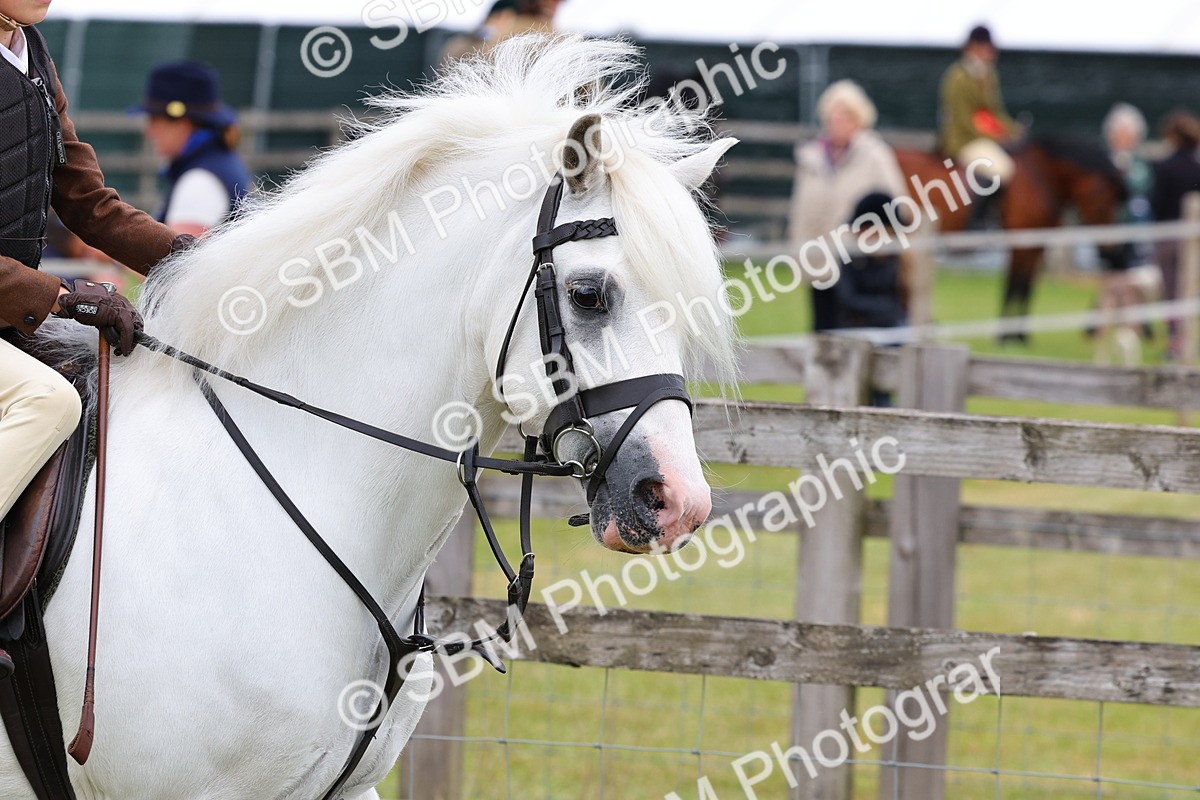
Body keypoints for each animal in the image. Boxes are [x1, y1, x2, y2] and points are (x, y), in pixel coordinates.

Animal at [895, 135, 1128, 337]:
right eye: (1103, 200)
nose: (1110, 249)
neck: (1041, 177)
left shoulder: (1037, 244)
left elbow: (1026, 286)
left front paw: (1020, 336)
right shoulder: (1021, 241)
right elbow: (1014, 283)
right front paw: (1005, 336)